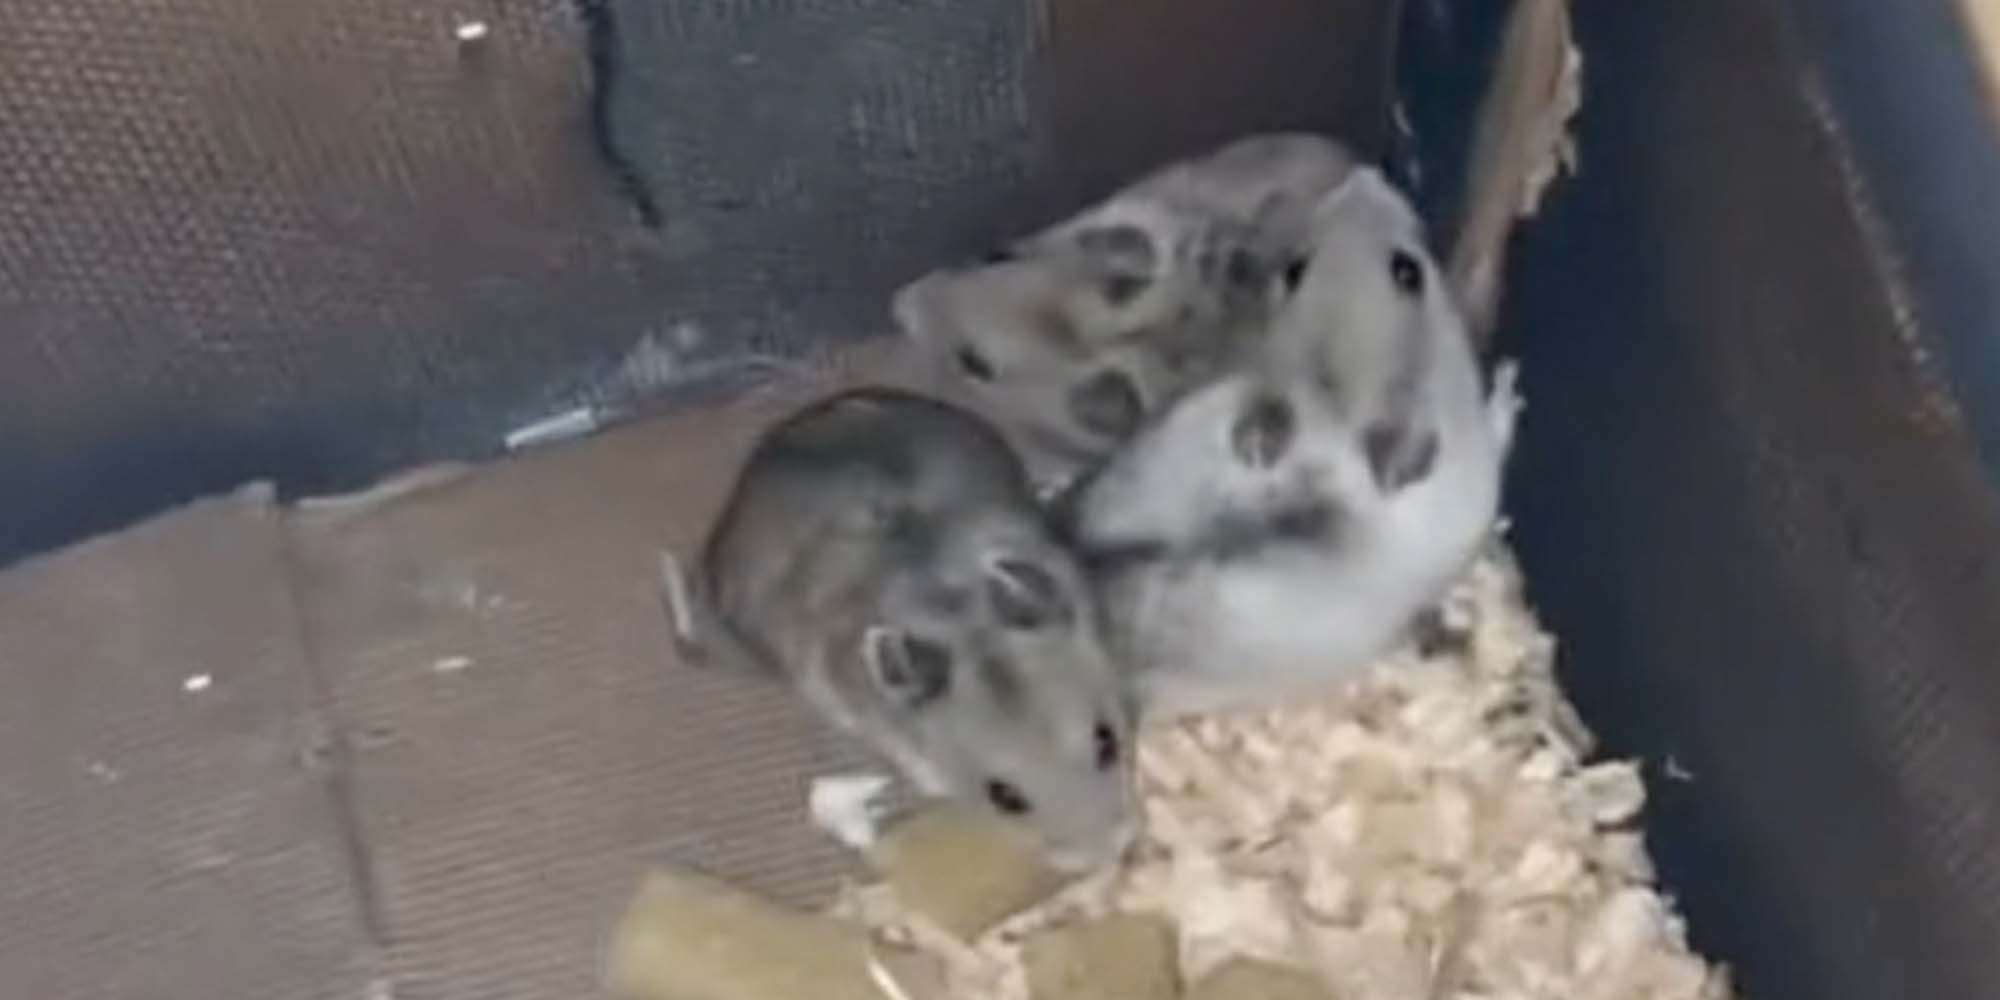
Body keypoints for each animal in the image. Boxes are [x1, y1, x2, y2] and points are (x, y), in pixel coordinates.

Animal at [1059, 167, 1523, 718]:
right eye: (1408, 271)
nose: (1365, 176)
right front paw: (1512, 381)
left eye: (1294, 270)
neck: (1327, 400)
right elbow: (1496, 427)